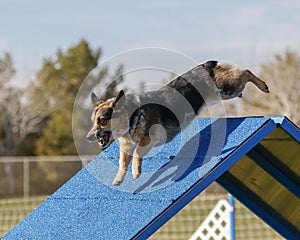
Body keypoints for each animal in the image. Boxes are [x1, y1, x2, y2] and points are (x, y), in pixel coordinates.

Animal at [86, 60, 270, 186]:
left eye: (102, 121)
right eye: (93, 122)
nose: (88, 137)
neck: (133, 116)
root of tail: (206, 64)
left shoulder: (148, 139)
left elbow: (138, 152)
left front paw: (136, 172)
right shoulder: (126, 148)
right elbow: (122, 162)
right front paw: (118, 180)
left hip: (227, 89)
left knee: (246, 72)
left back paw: (263, 86)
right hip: (225, 93)